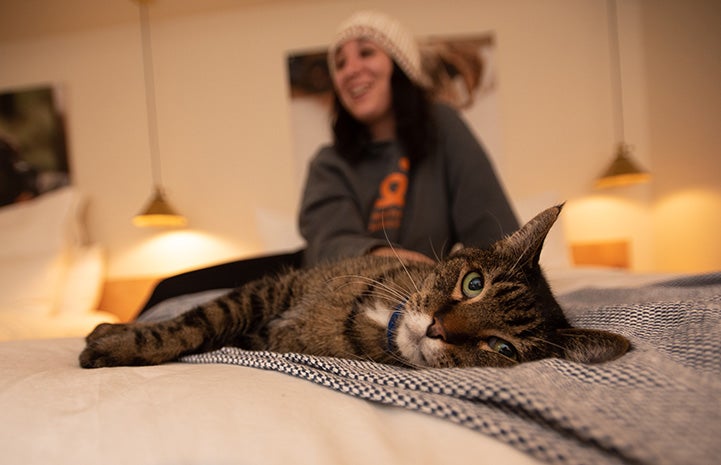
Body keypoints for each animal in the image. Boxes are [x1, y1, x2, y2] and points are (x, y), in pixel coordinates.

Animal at [80, 207, 632, 370]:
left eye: (501, 348)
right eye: (473, 284)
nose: (436, 328)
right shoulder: (274, 288)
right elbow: (199, 319)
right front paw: (119, 338)